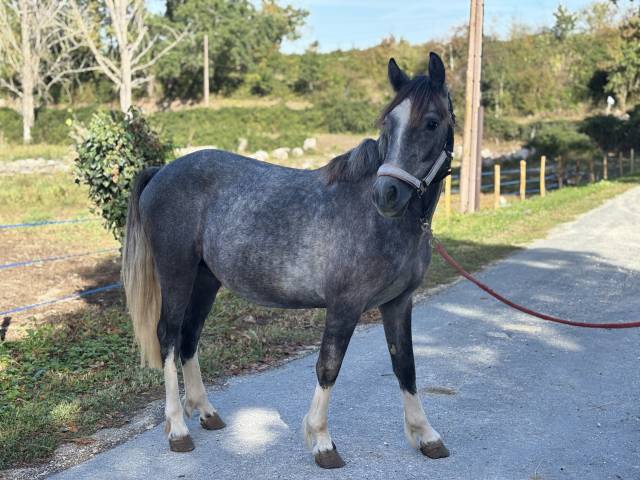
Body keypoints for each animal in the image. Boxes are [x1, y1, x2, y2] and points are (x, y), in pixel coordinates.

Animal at [122, 52, 455, 469]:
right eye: (387, 123)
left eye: (432, 122)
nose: (387, 194)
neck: (382, 221)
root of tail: (160, 172)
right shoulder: (344, 306)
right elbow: (328, 366)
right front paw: (322, 441)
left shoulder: (398, 303)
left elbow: (405, 365)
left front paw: (426, 436)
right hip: (176, 273)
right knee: (167, 336)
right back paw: (178, 429)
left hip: (205, 279)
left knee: (189, 338)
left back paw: (206, 412)